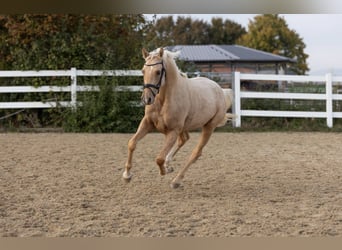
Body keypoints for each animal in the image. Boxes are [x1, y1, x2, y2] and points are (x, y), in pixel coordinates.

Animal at [123, 47, 235, 188]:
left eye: (158, 72)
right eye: (143, 71)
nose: (146, 99)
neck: (164, 100)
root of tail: (220, 90)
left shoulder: (173, 131)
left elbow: (159, 158)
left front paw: (164, 172)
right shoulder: (147, 123)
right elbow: (132, 143)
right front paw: (127, 176)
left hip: (209, 127)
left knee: (196, 152)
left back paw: (176, 180)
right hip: (185, 127)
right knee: (184, 139)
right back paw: (169, 165)